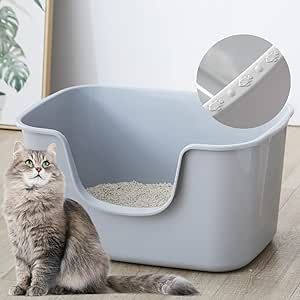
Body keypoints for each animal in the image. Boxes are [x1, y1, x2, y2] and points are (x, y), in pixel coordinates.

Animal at [2, 142, 199, 296]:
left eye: (46, 163)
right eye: (28, 162)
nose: (38, 169)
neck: (28, 204)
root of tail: (104, 278)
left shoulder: (49, 246)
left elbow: (42, 271)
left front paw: (36, 289)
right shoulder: (18, 245)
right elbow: (22, 271)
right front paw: (20, 288)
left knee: (90, 288)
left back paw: (61, 289)